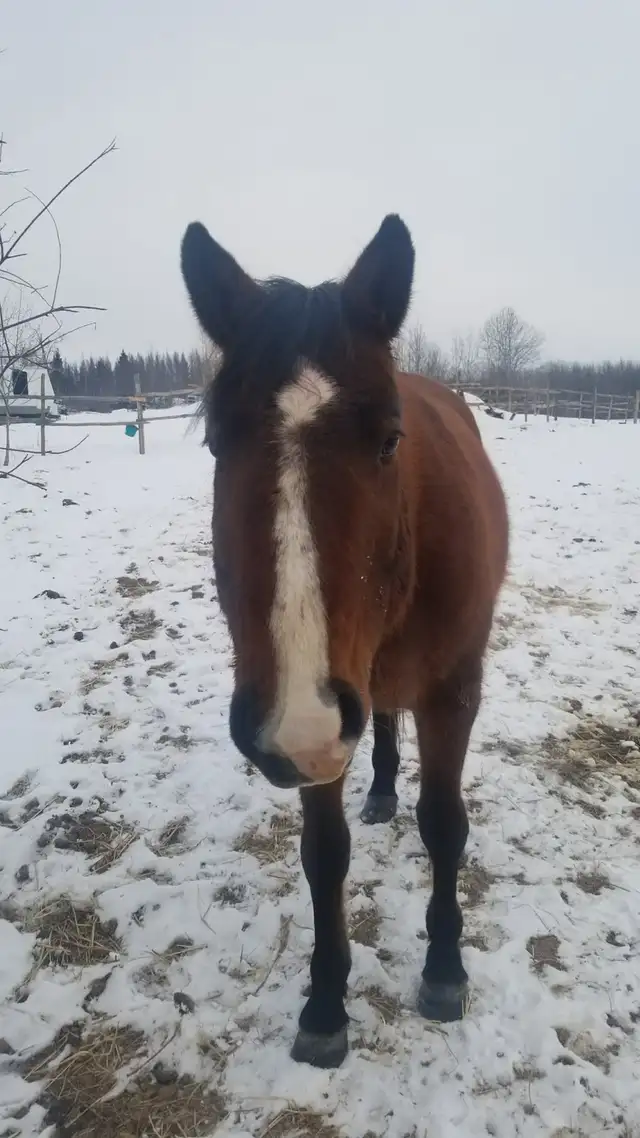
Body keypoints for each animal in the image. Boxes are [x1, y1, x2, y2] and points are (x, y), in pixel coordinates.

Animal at [180, 215, 509, 1069]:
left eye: (390, 439)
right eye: (215, 443)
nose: (295, 721)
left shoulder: (452, 693)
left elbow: (445, 824)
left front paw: (444, 970)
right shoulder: (320, 731)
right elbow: (324, 856)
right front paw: (326, 1004)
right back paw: (383, 787)